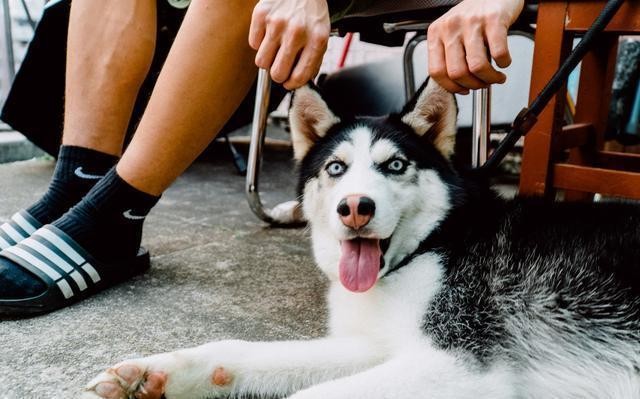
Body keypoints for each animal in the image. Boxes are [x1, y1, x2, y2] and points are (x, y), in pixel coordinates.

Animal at [85, 79, 640, 398]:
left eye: (394, 165)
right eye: (336, 167)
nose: (354, 207)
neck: (428, 250)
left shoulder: (462, 363)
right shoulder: (379, 344)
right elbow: (244, 352)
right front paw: (154, 374)